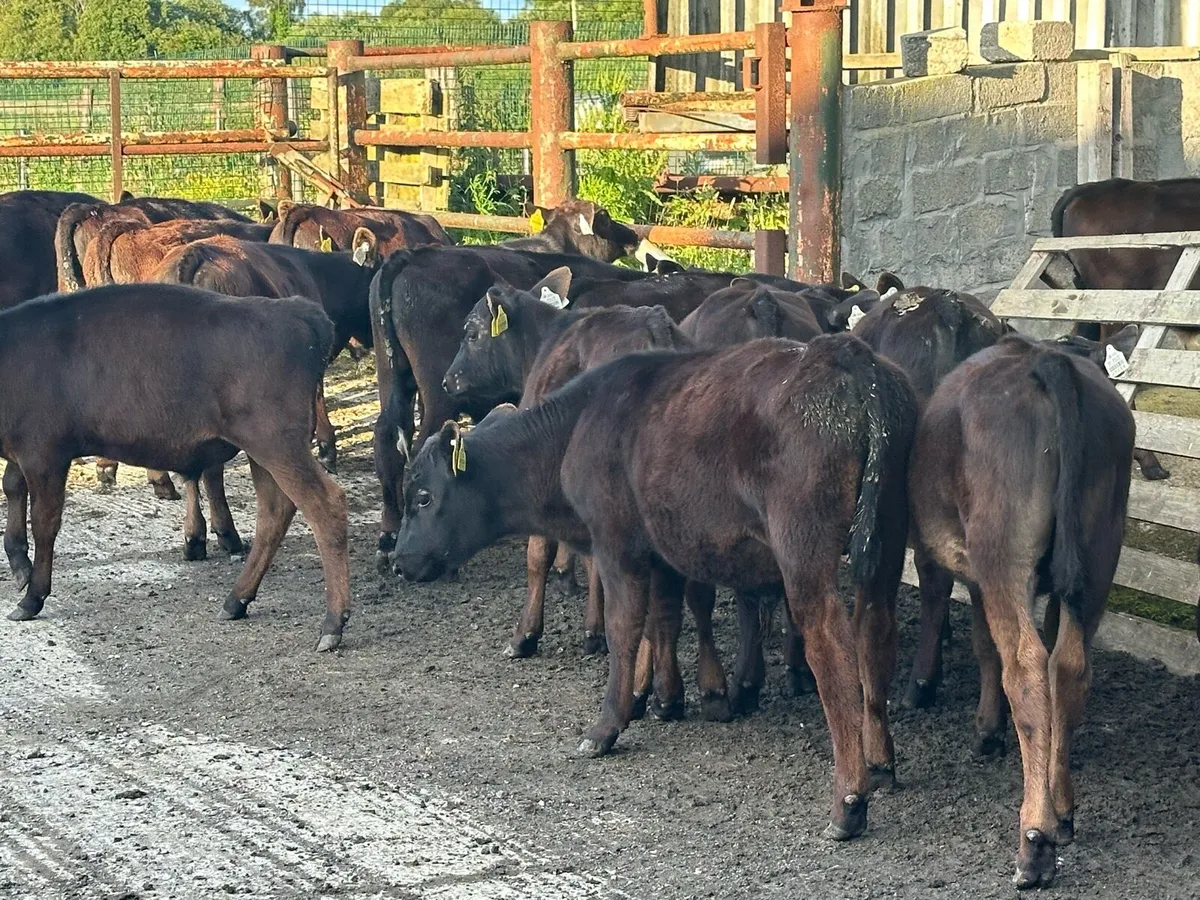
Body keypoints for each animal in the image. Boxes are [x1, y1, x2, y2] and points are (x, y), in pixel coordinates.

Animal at [0, 284, 351, 651]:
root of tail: (295, 310)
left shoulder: (44, 456)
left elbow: (44, 523)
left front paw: (31, 597)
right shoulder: (21, 455)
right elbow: (12, 486)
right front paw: (20, 566)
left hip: (277, 445)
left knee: (324, 506)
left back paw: (332, 624)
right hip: (264, 453)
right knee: (274, 512)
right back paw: (236, 601)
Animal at [394, 333, 918, 841]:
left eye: (423, 497)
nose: (399, 561)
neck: (578, 425)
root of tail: (846, 354)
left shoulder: (616, 543)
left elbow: (624, 628)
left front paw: (607, 725)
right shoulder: (662, 549)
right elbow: (663, 617)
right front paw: (667, 698)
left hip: (804, 553)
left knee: (830, 647)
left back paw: (848, 803)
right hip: (887, 540)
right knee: (875, 633)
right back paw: (880, 763)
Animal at [909, 334, 1134, 888]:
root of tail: (1043, 358)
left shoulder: (964, 569)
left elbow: (983, 646)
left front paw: (986, 730)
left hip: (1003, 554)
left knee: (1027, 668)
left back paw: (1034, 839)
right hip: (1098, 554)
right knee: (1068, 667)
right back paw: (1062, 811)